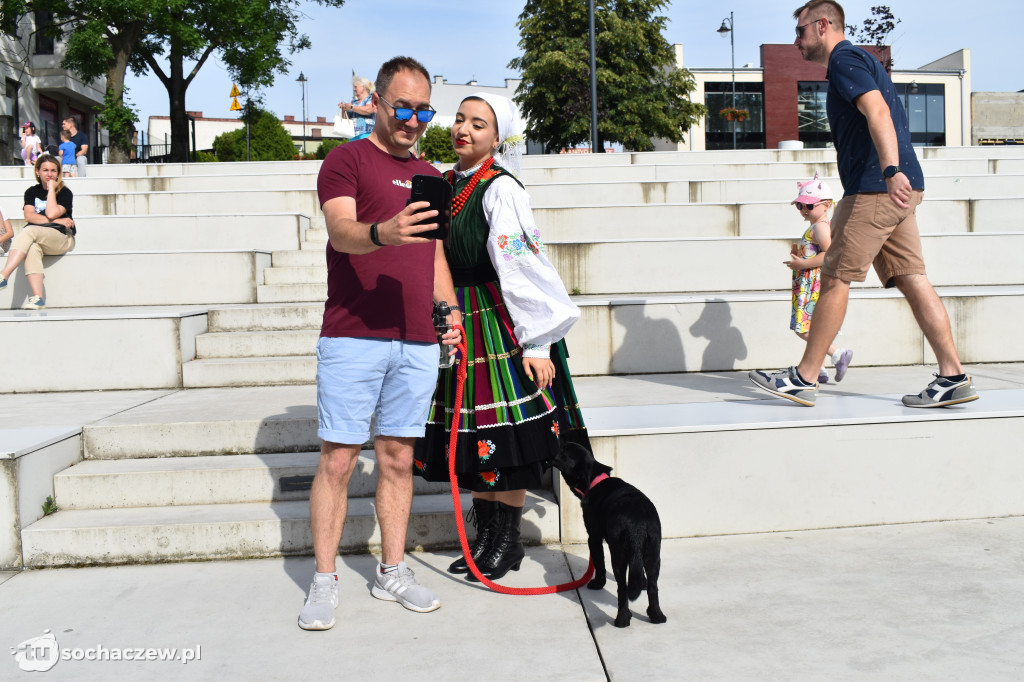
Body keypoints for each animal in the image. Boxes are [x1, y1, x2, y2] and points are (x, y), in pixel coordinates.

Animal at [548, 440, 667, 626]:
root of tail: (637, 524)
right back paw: (657, 616)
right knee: (653, 588)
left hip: (618, 556)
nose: (558, 440)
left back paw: (622, 619)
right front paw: (641, 583)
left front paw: (598, 583)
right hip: (654, 555)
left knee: (622, 589)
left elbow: (599, 564)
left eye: (564, 451)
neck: (595, 480)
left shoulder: (594, 538)